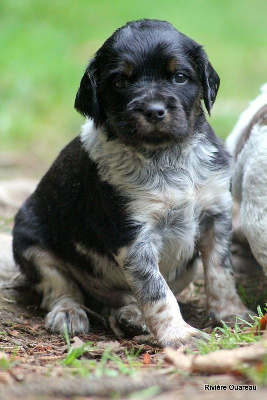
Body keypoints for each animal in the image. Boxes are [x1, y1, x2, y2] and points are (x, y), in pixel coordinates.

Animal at [12, 20, 251, 348]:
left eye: (179, 77)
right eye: (120, 82)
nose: (154, 110)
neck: (166, 156)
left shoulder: (216, 214)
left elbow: (220, 272)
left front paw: (231, 313)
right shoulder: (134, 236)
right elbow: (155, 290)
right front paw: (180, 335)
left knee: (121, 298)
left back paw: (131, 315)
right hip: (30, 243)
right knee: (60, 286)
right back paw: (69, 313)